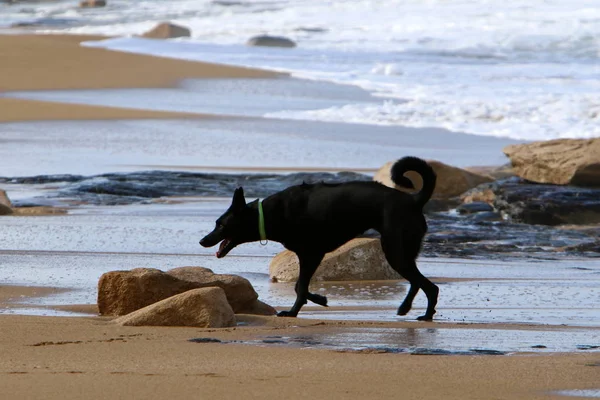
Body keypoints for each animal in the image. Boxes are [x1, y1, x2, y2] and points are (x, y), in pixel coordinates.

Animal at [199, 155, 438, 318]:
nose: (203, 241)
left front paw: (294, 311)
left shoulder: (311, 254)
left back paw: (425, 314)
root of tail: (414, 200)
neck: (267, 214)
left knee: (429, 286)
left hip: (394, 250)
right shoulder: (311, 256)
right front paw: (318, 299)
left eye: (220, 224)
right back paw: (408, 308)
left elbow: (300, 287)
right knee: (417, 282)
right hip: (403, 251)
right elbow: (301, 287)